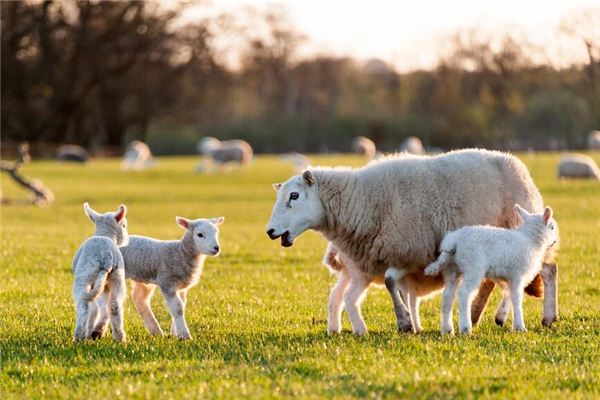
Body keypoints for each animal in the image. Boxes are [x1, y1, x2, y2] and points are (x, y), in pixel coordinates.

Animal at [72, 205, 129, 342]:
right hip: (117, 276)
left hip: (84, 275)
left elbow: (94, 309)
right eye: (124, 226)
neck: (104, 234)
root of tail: (106, 255)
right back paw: (120, 338)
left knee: (84, 305)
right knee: (114, 305)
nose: (128, 239)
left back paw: (79, 337)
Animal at [422, 205, 556, 336]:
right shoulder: (517, 275)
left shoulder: (510, 278)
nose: (554, 242)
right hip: (473, 267)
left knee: (447, 296)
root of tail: (453, 242)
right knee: (464, 293)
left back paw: (447, 331)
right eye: (552, 227)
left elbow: (509, 295)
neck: (530, 239)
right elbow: (517, 299)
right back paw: (465, 329)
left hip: (452, 269)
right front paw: (520, 327)